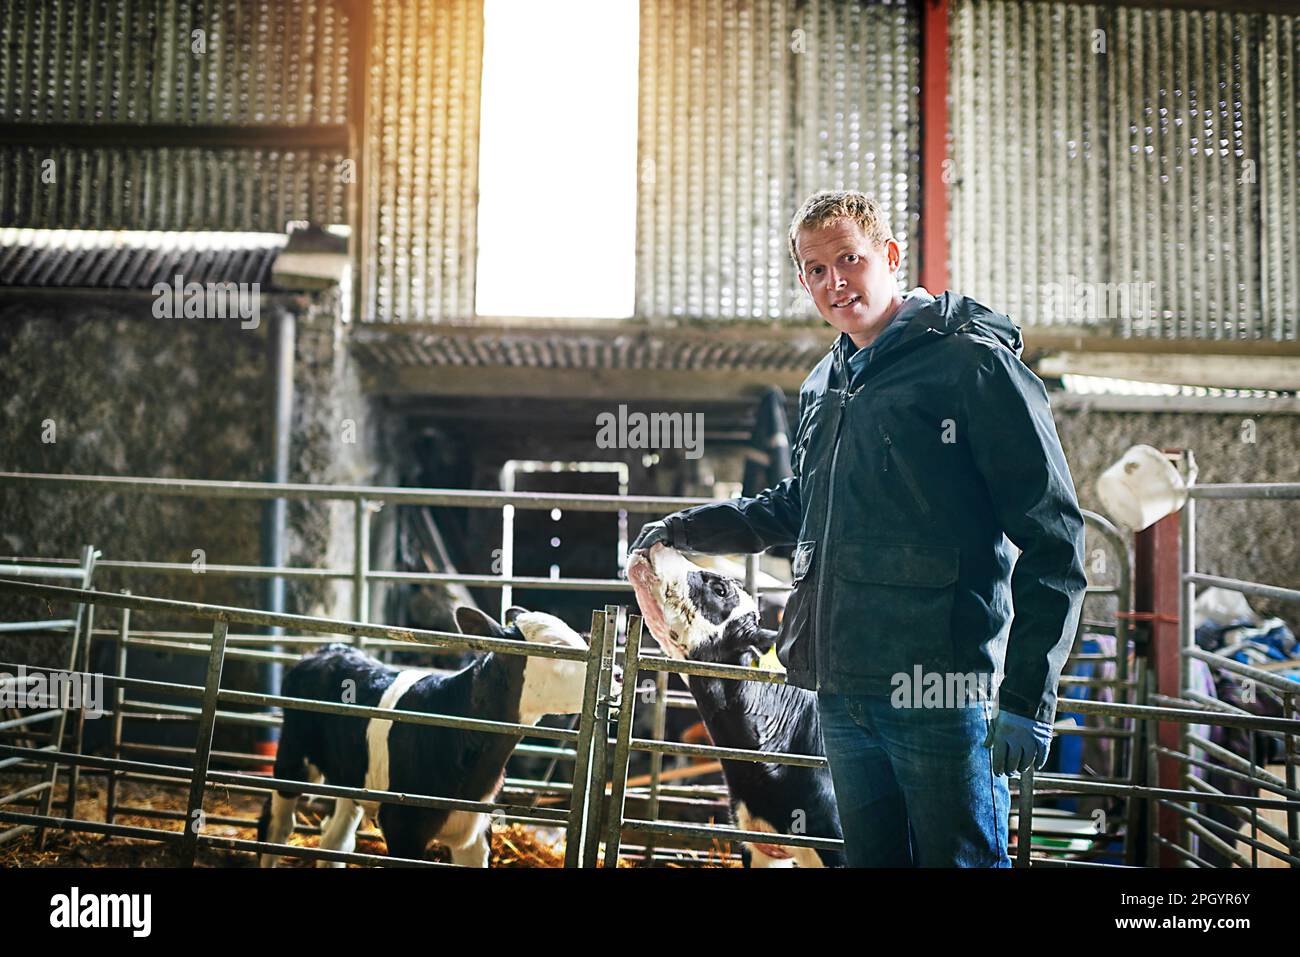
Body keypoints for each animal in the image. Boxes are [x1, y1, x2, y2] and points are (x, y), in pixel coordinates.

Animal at [257, 605, 590, 868]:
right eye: (557, 649)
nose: (605, 676)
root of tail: (329, 649)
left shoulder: (477, 831)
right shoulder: (402, 828)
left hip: (350, 776)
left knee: (335, 840)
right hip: (292, 759)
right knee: (276, 826)